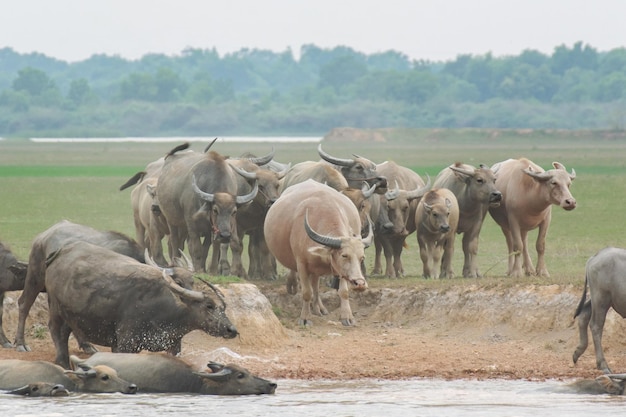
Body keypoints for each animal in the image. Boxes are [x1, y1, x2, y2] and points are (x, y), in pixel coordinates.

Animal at [42, 240, 236, 368]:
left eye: (223, 307)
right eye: (209, 306)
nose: (232, 330)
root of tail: (60, 252)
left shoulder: (174, 346)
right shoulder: (125, 344)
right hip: (55, 308)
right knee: (57, 332)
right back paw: (62, 362)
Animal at [264, 179, 370, 324]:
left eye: (362, 258)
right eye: (344, 255)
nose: (360, 284)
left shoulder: (340, 270)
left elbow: (343, 291)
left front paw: (347, 317)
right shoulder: (301, 264)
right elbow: (306, 292)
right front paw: (305, 318)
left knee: (316, 284)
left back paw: (319, 308)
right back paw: (293, 285)